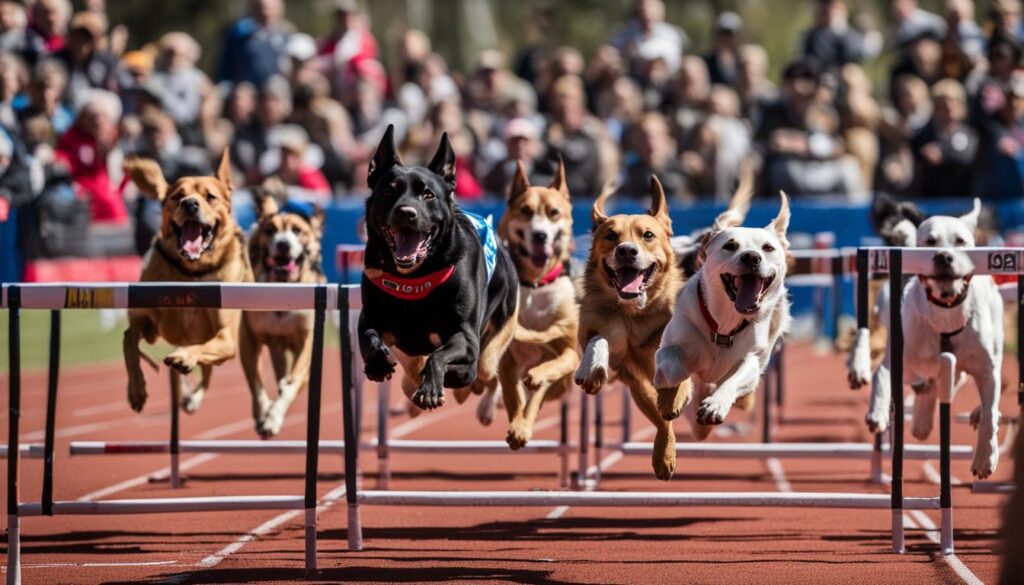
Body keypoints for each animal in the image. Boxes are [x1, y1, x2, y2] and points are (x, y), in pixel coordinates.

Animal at [120, 152, 253, 415]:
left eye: (210, 196)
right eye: (177, 196)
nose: (190, 204)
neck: (193, 271)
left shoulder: (226, 337)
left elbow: (200, 348)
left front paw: (183, 358)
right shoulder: (148, 322)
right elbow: (129, 340)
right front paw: (136, 390)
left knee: (209, 370)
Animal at [238, 181, 323, 436]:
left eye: (297, 230)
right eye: (271, 231)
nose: (283, 244)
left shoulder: (307, 338)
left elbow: (294, 381)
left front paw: (274, 417)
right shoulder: (249, 336)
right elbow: (255, 381)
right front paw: (263, 412)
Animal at [493, 162, 577, 450]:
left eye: (554, 212)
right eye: (526, 211)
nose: (540, 235)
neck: (535, 285)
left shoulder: (568, 351)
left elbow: (544, 381)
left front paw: (523, 425)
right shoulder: (506, 360)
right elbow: (513, 396)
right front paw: (517, 423)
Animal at [573, 177, 692, 481]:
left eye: (647, 235)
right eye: (611, 235)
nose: (627, 250)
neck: (634, 313)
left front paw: (678, 394)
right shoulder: (610, 350)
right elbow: (599, 341)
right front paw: (591, 370)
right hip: (640, 389)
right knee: (661, 420)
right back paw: (663, 456)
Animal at [851, 198, 1003, 477]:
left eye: (960, 241)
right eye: (930, 240)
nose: (943, 256)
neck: (945, 313)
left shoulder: (986, 370)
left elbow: (990, 411)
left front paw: (985, 458)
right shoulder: (898, 357)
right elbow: (881, 376)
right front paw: (877, 412)